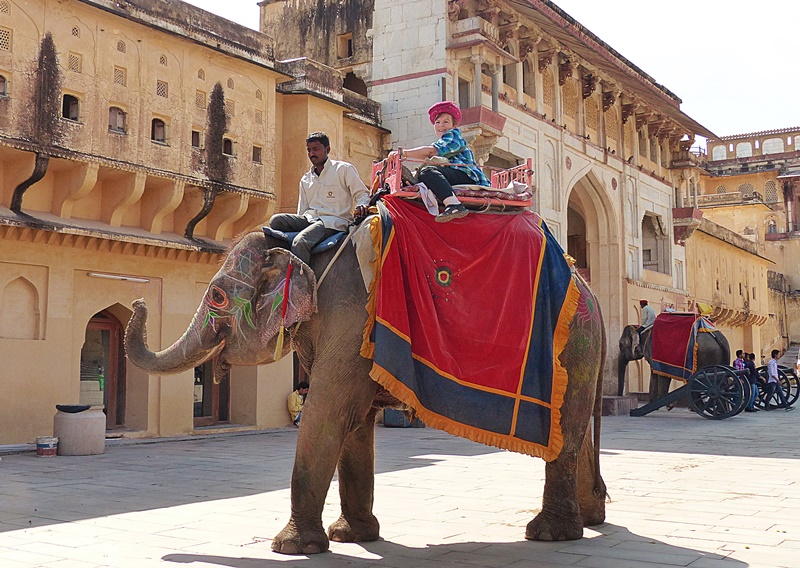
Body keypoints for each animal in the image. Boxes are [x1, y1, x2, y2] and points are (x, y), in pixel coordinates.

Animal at [126, 226, 608, 556]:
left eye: (218, 298)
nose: (137, 302)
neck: (307, 250)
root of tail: (591, 291)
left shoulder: (351, 315)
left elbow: (326, 410)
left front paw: (292, 548)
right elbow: (353, 422)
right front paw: (351, 536)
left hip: (573, 345)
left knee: (566, 432)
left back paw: (549, 534)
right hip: (579, 354)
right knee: (575, 430)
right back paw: (591, 518)